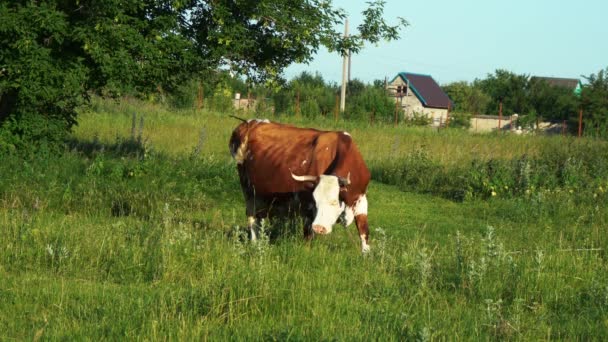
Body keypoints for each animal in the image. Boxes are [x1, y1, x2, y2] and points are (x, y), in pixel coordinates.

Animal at [228, 119, 370, 252]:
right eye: (315, 201)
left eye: (334, 201)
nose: (319, 228)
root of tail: (250, 123)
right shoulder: (307, 206)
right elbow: (308, 235)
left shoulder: (361, 201)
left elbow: (364, 232)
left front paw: (366, 255)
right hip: (248, 191)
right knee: (252, 218)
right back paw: (254, 244)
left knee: (260, 218)